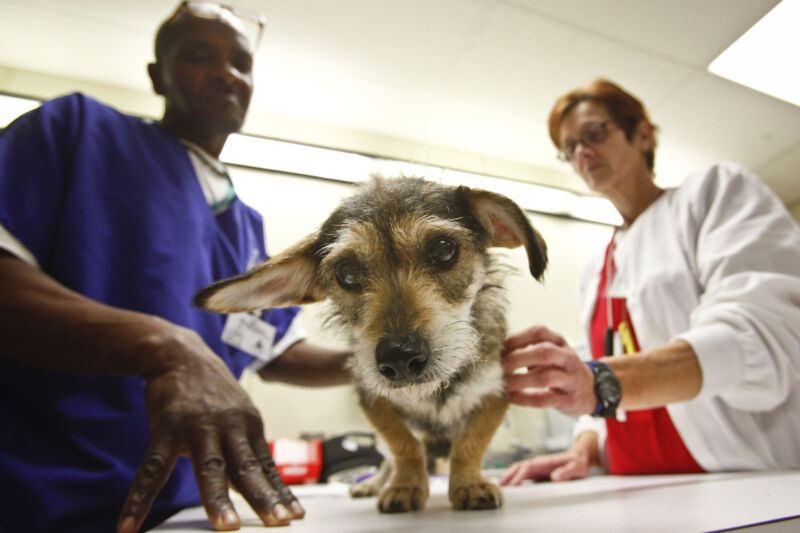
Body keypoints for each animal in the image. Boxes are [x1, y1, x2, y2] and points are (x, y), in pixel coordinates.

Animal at [194, 177, 548, 512]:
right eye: (347, 273)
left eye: (444, 249)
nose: (400, 357)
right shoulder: (374, 402)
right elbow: (405, 447)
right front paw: (405, 486)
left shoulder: (495, 394)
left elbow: (470, 445)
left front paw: (470, 484)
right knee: (389, 458)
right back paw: (375, 484)